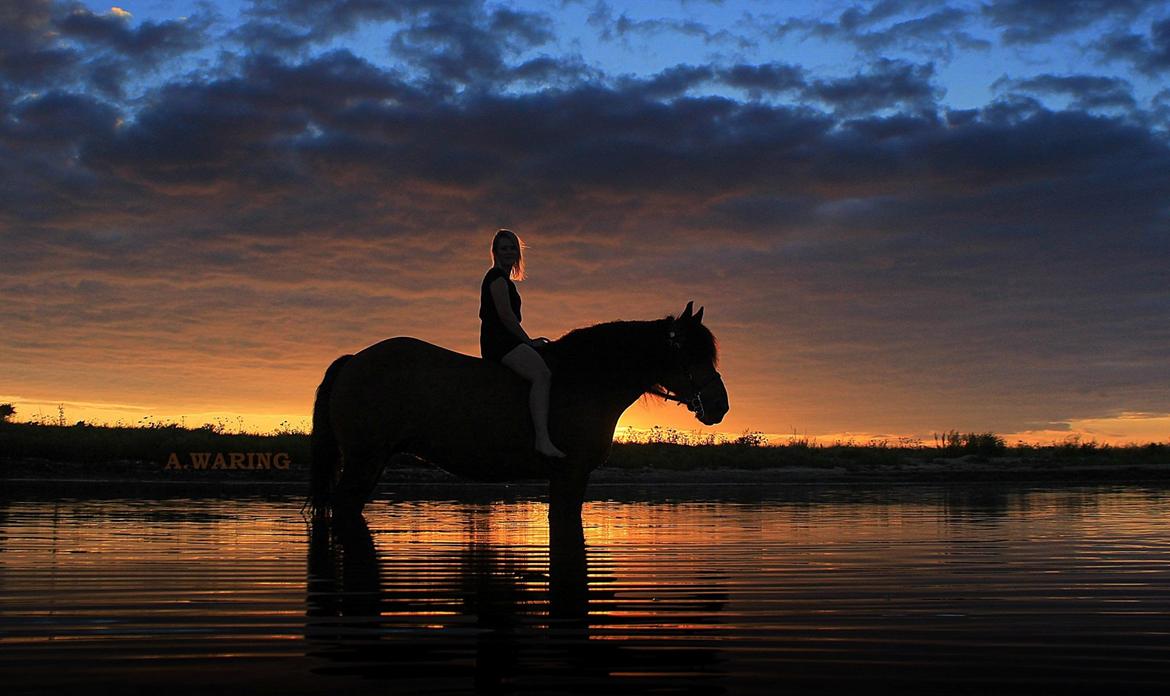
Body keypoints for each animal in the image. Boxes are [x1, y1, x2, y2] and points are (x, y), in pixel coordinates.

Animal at [311, 301, 730, 528]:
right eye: (690, 353)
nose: (720, 405)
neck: (586, 379)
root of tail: (355, 360)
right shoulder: (570, 473)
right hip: (364, 459)